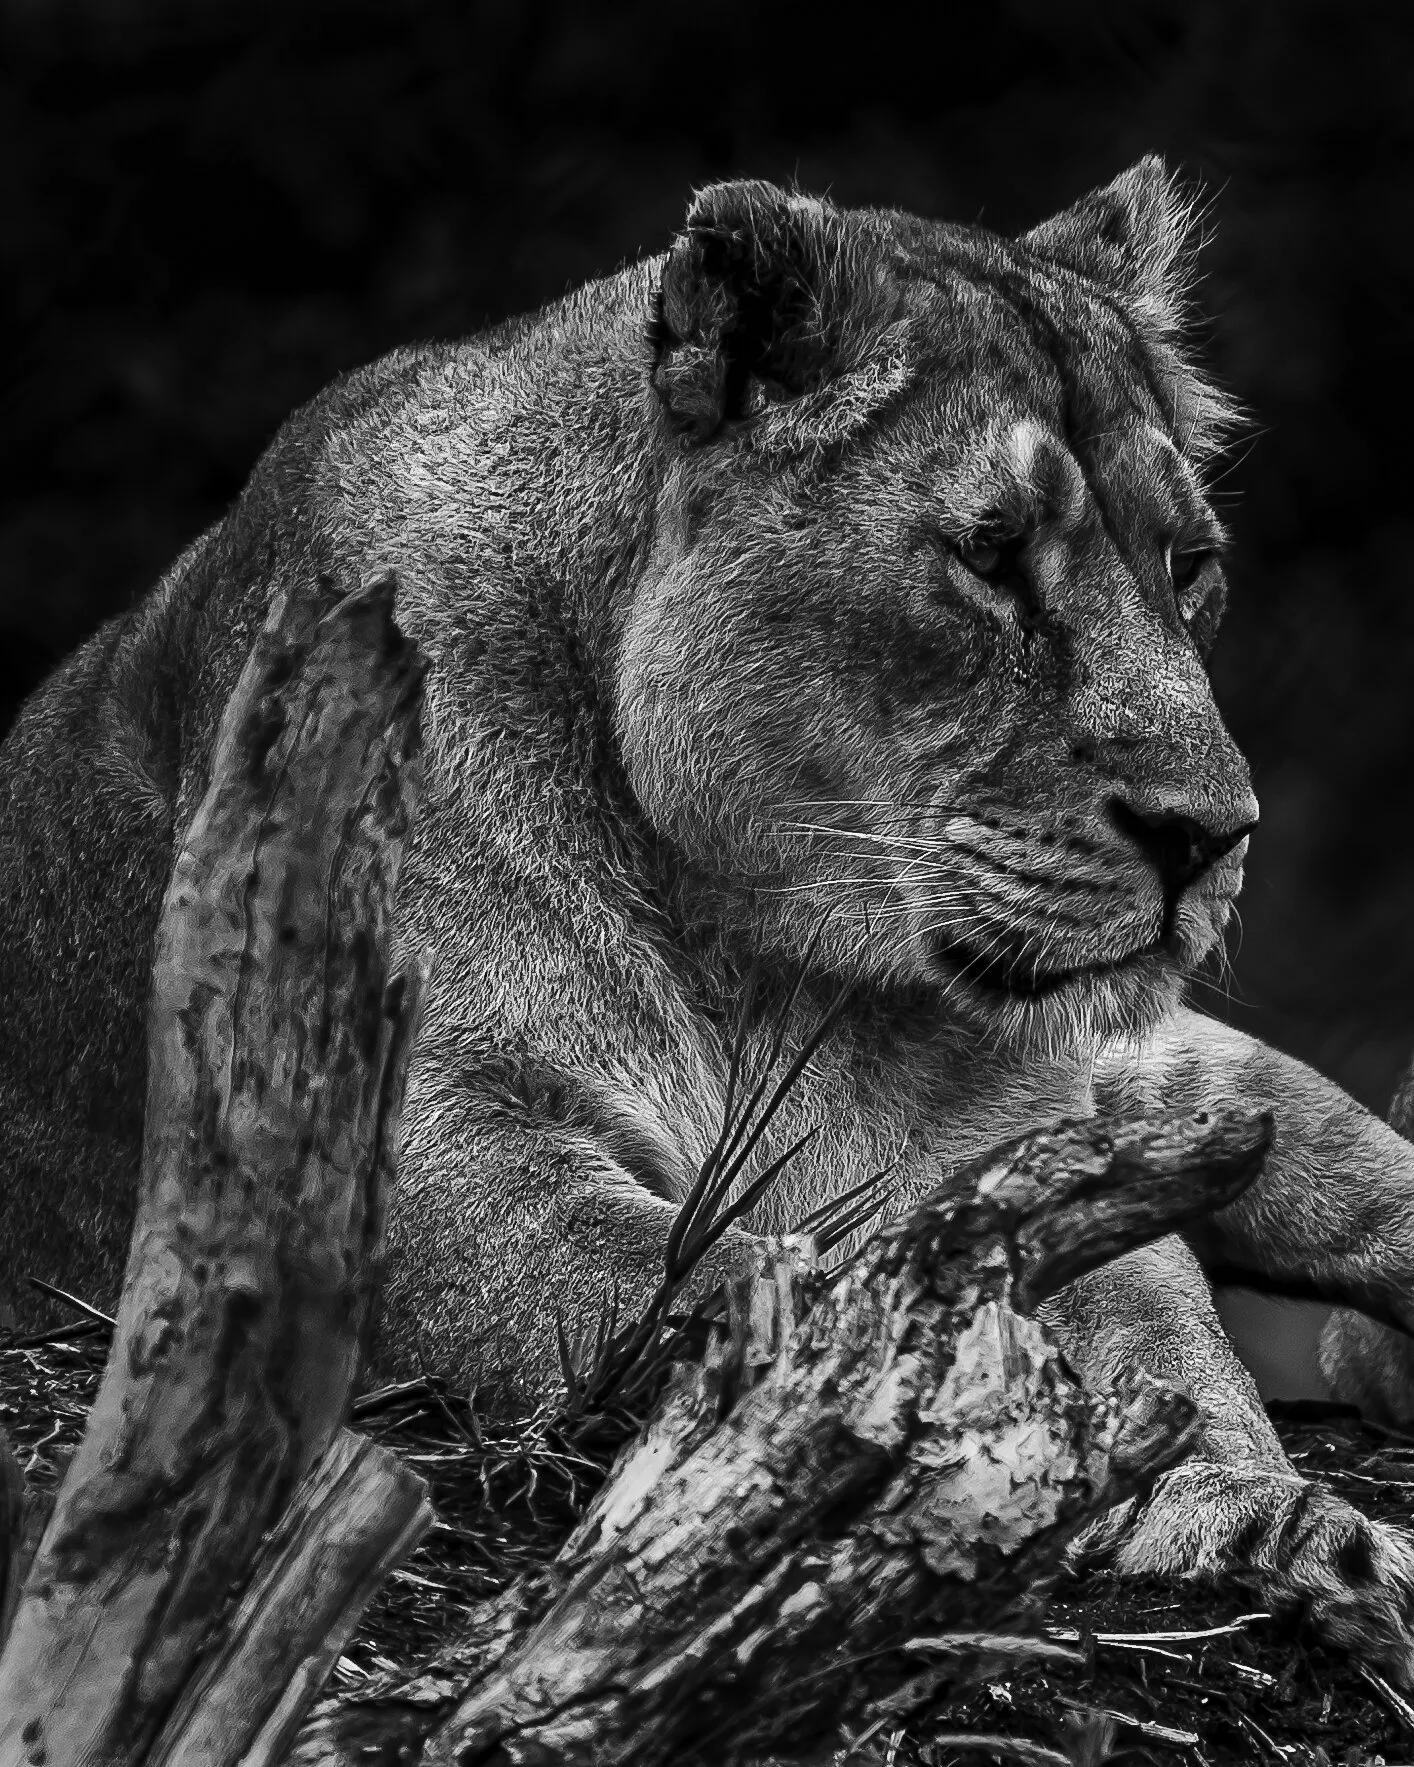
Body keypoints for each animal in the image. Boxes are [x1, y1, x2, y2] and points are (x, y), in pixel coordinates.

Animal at [6, 158, 1414, 1674]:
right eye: (989, 554)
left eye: (1188, 562)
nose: (1212, 834)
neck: (770, 961)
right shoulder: (430, 1180)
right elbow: (743, 1289)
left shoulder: (1035, 1153)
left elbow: (1170, 1343)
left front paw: (1254, 1505)